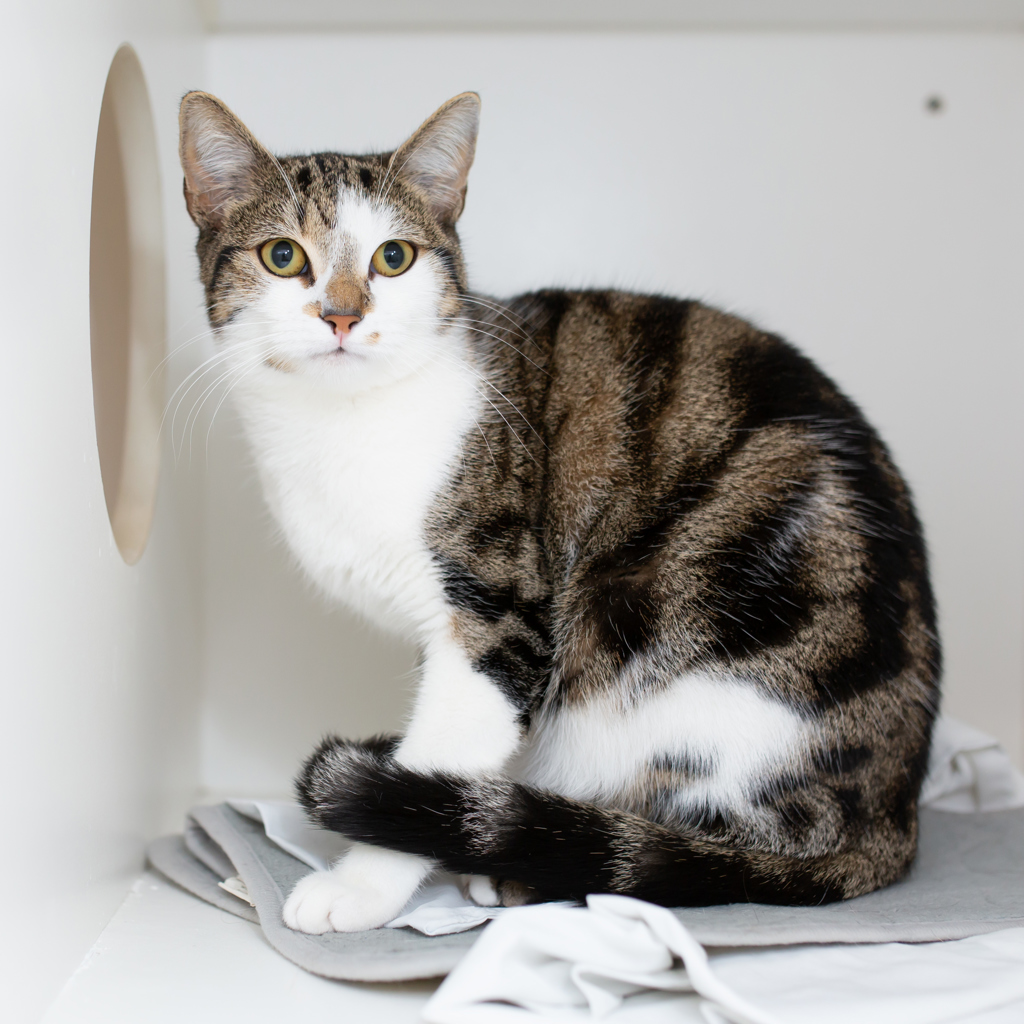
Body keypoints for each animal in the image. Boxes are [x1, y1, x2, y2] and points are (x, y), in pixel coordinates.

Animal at [178, 90, 940, 933]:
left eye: (393, 257)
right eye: (283, 256)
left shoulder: (501, 607)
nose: (342, 316)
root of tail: (895, 818)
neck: (341, 425)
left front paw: (362, 881)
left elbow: (444, 743)